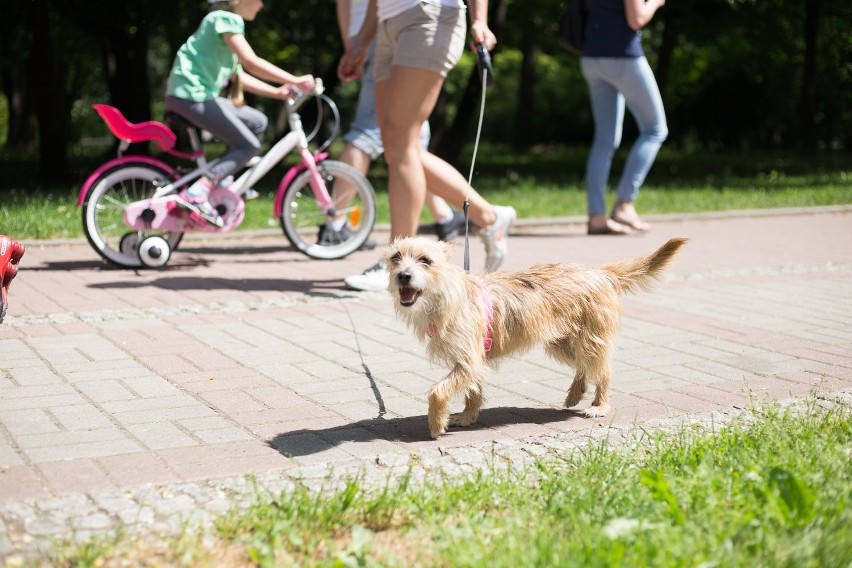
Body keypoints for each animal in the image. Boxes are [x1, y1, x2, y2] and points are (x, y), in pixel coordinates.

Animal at [384, 235, 684, 440]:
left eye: (425, 260)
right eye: (395, 257)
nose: (403, 276)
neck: (447, 294)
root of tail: (601, 273)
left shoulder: (468, 361)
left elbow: (438, 391)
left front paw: (436, 424)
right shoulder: (473, 362)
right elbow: (473, 392)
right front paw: (468, 417)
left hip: (589, 341)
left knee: (603, 371)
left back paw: (599, 406)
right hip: (562, 343)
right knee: (584, 367)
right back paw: (575, 394)